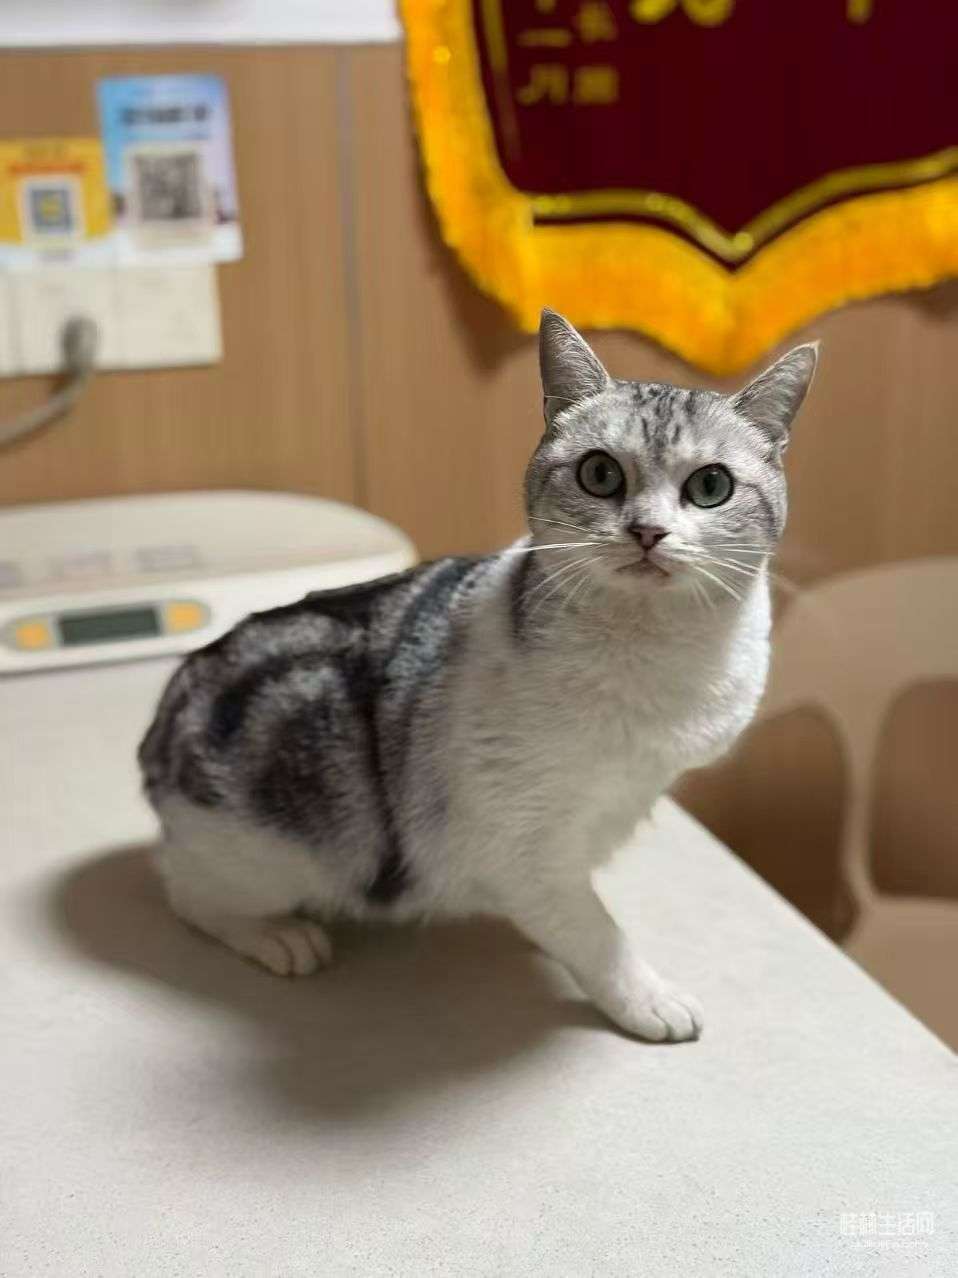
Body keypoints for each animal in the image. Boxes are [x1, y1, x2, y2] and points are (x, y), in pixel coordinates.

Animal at [139, 309, 817, 1042]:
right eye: (600, 473)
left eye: (711, 486)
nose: (647, 531)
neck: (651, 654)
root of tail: (163, 721)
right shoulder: (518, 842)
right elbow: (595, 933)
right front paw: (646, 996)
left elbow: (574, 904)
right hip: (275, 845)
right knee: (184, 889)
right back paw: (277, 935)